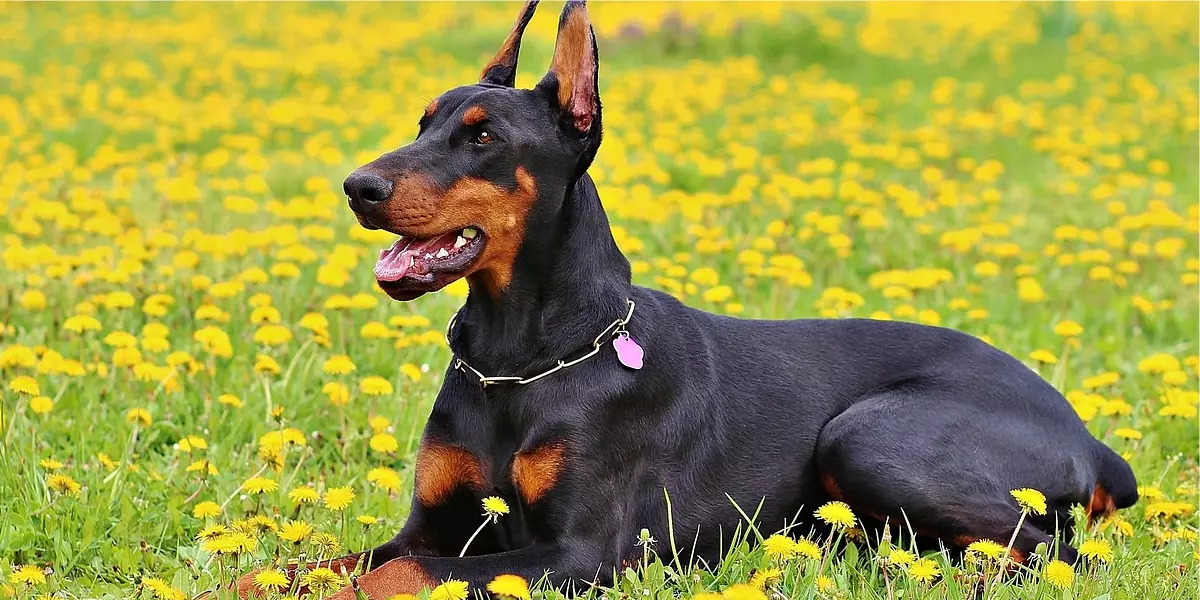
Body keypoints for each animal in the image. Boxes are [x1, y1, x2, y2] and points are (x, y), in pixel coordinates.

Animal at [231, 2, 1132, 597]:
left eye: (483, 136)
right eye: (422, 123)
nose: (358, 187)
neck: (520, 357)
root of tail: (1091, 438)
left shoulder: (584, 552)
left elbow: (407, 576)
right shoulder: (430, 522)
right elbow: (323, 562)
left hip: (870, 437)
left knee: (1055, 552)